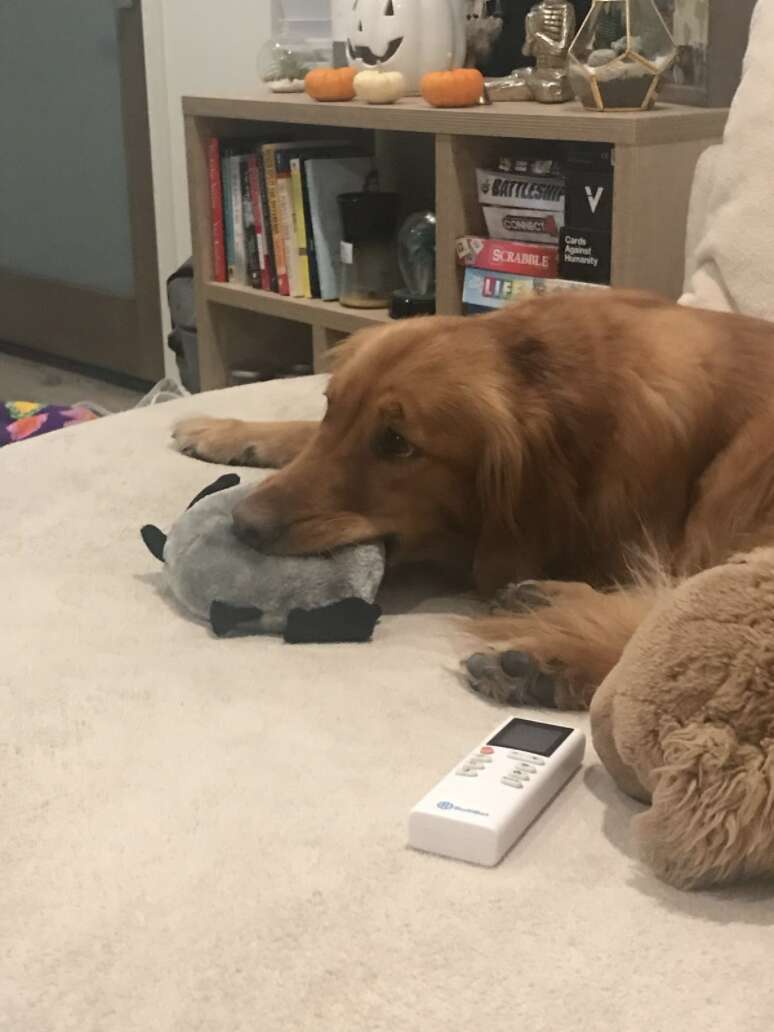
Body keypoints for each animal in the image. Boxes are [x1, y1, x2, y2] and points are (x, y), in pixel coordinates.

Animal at [174, 286, 774, 714]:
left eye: (397, 443)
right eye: (331, 408)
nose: (242, 524)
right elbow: (298, 435)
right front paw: (221, 429)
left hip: (742, 473)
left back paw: (549, 661)